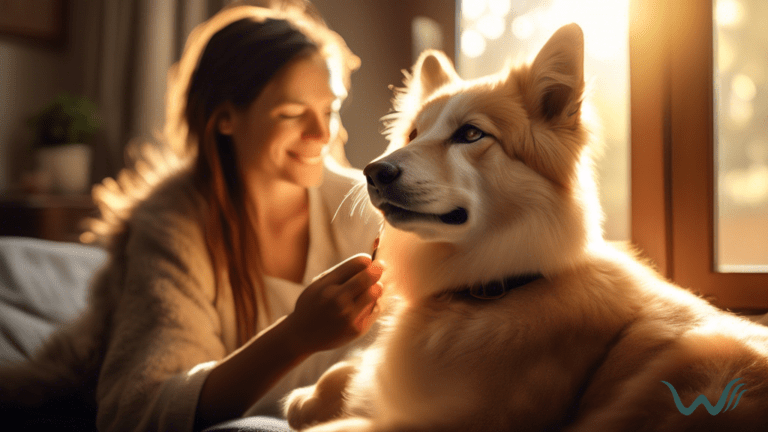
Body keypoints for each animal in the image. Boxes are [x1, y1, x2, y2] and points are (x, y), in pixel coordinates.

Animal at [282, 24, 768, 432]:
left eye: (471, 134)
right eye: (414, 134)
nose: (373, 172)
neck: (497, 288)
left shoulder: (450, 421)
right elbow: (344, 371)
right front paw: (311, 396)